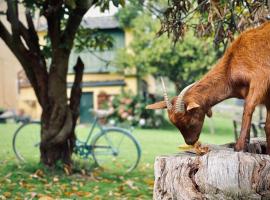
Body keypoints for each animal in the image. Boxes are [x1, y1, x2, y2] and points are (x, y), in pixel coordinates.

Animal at [148, 21, 270, 153]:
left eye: (189, 119)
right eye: (175, 123)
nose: (190, 142)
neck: (231, 66)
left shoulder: (260, 78)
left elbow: (248, 107)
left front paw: (240, 147)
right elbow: (267, 126)